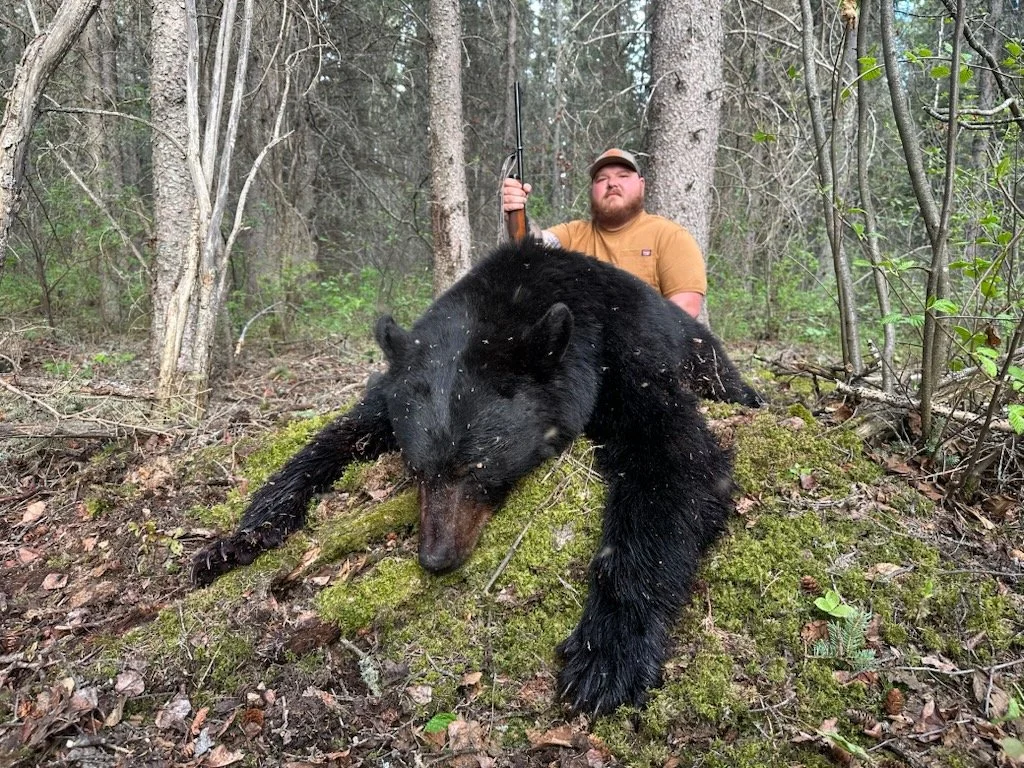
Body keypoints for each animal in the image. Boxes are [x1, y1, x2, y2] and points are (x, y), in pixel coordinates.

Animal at [191, 239, 761, 715]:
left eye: (476, 468)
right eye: (417, 468)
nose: (435, 558)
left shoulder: (624, 358)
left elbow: (675, 461)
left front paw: (608, 654)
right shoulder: (395, 394)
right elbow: (336, 437)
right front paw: (239, 538)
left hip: (709, 361)